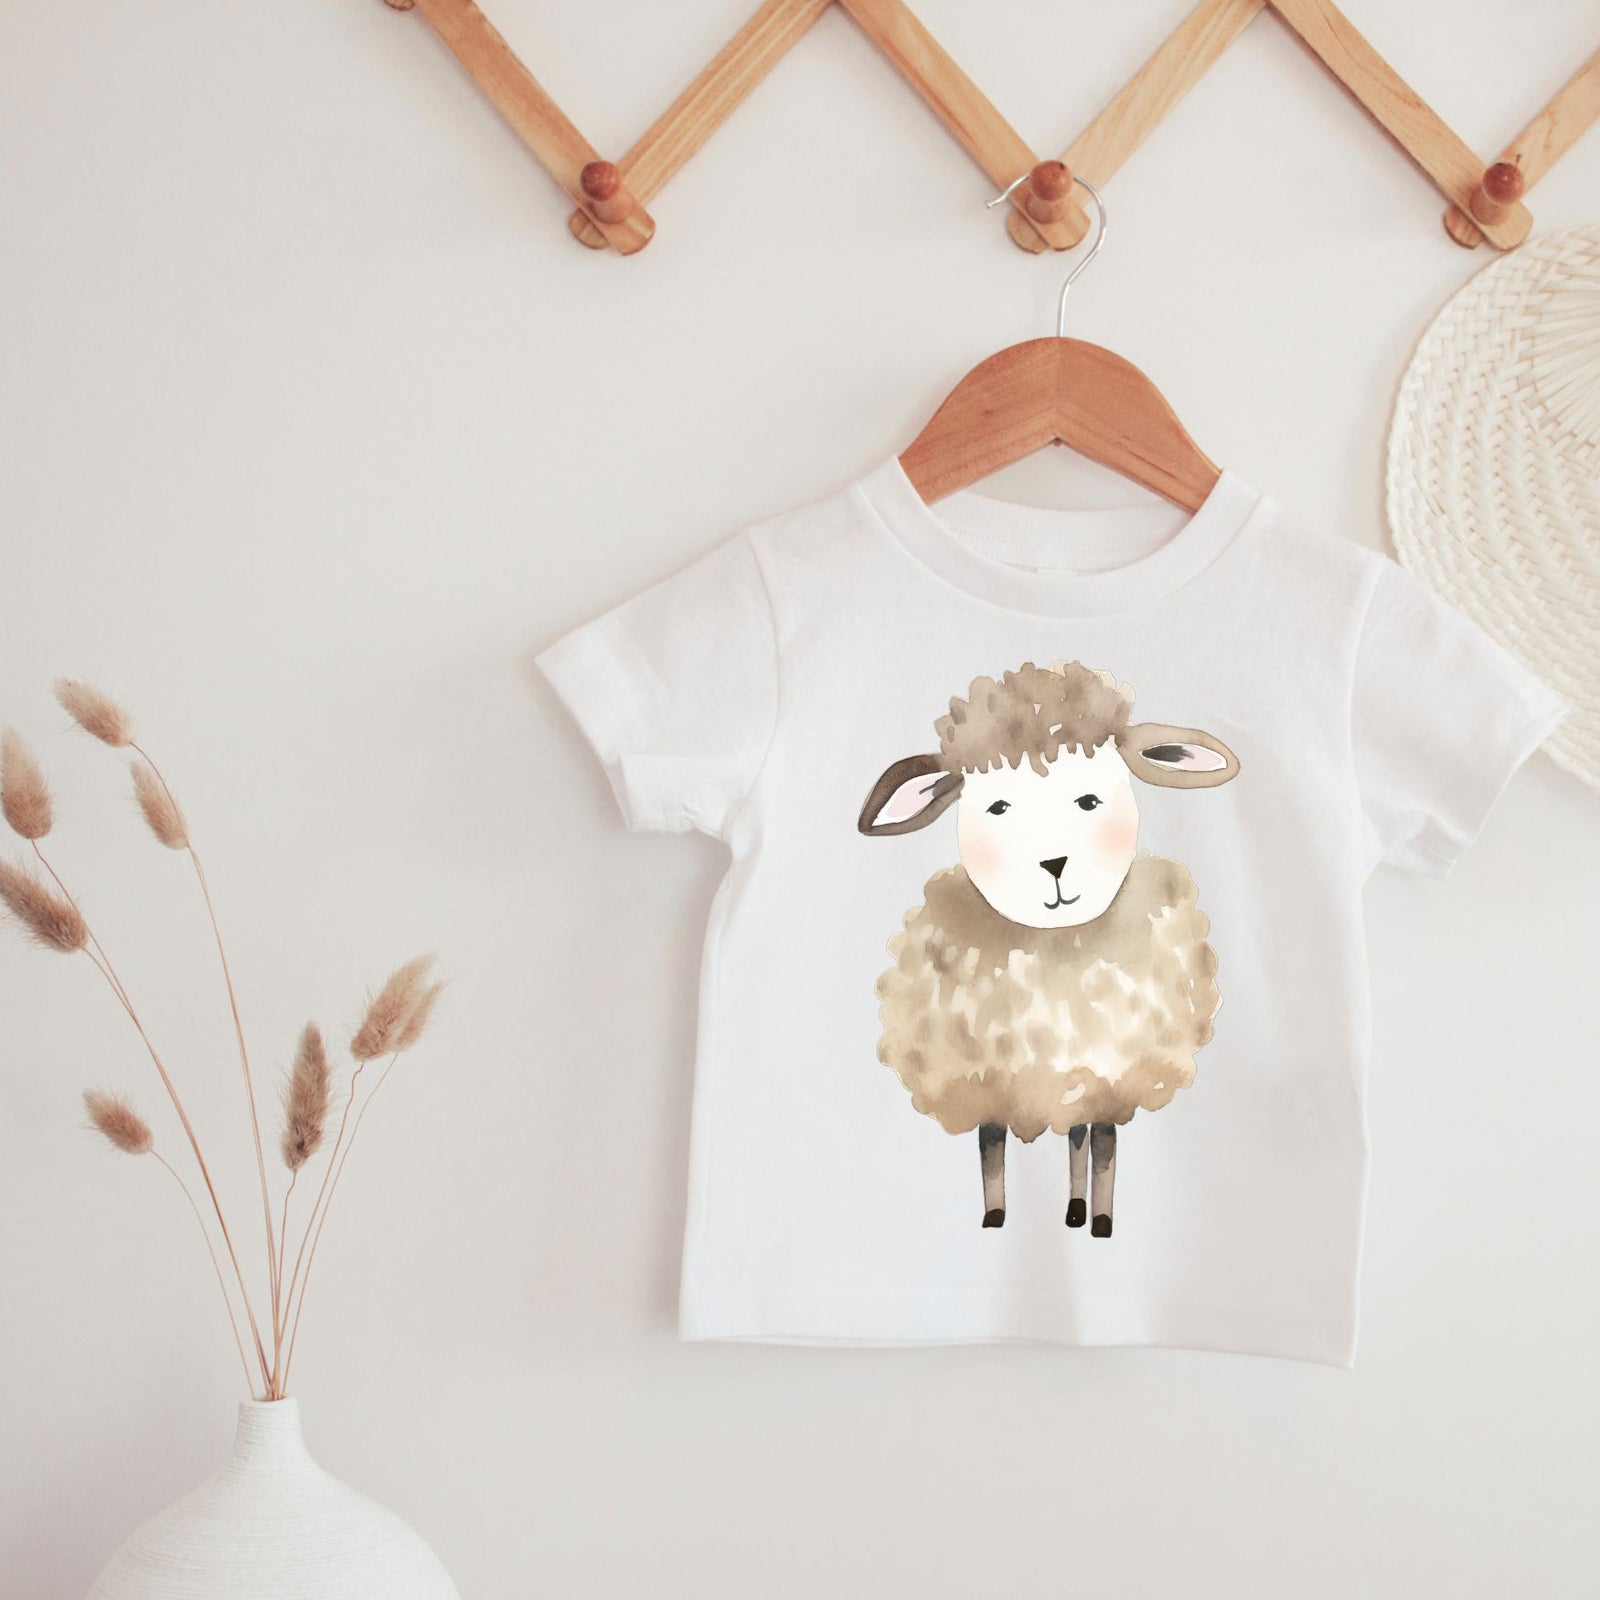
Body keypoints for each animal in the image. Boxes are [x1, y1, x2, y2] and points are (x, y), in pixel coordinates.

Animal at [858, 661, 1239, 1234]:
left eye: (1089, 800)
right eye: (998, 806)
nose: (1054, 864)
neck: (1057, 945)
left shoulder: (1110, 1079)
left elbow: (1103, 1148)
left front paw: (1102, 1220)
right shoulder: (987, 1080)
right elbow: (991, 1150)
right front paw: (995, 1216)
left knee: (1081, 1138)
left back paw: (1082, 1212)